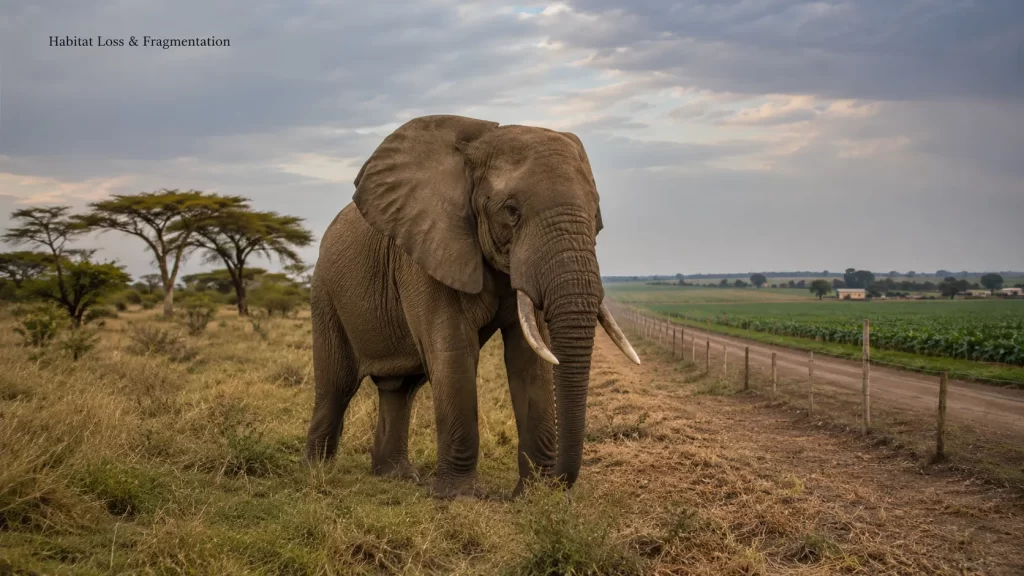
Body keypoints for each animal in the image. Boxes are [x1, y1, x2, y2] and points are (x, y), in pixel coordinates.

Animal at [304, 114, 640, 499]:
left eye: (597, 217)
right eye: (511, 211)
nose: (557, 482)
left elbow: (531, 357)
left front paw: (533, 495)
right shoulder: (428, 247)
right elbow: (453, 351)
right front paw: (460, 497)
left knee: (401, 388)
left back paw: (396, 476)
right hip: (325, 292)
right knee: (337, 384)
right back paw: (317, 471)